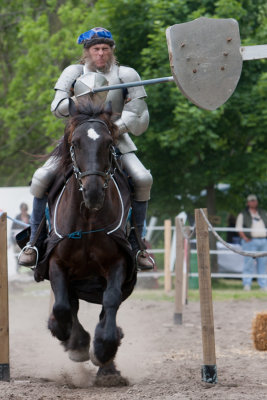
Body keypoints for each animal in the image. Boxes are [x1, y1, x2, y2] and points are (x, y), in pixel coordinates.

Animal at [45, 99, 136, 384]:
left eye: (108, 144)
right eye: (75, 143)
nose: (93, 192)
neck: (86, 221)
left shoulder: (117, 264)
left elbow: (111, 300)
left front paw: (103, 347)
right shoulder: (57, 263)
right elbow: (62, 306)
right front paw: (75, 343)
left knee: (106, 307)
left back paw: (108, 367)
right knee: (69, 303)